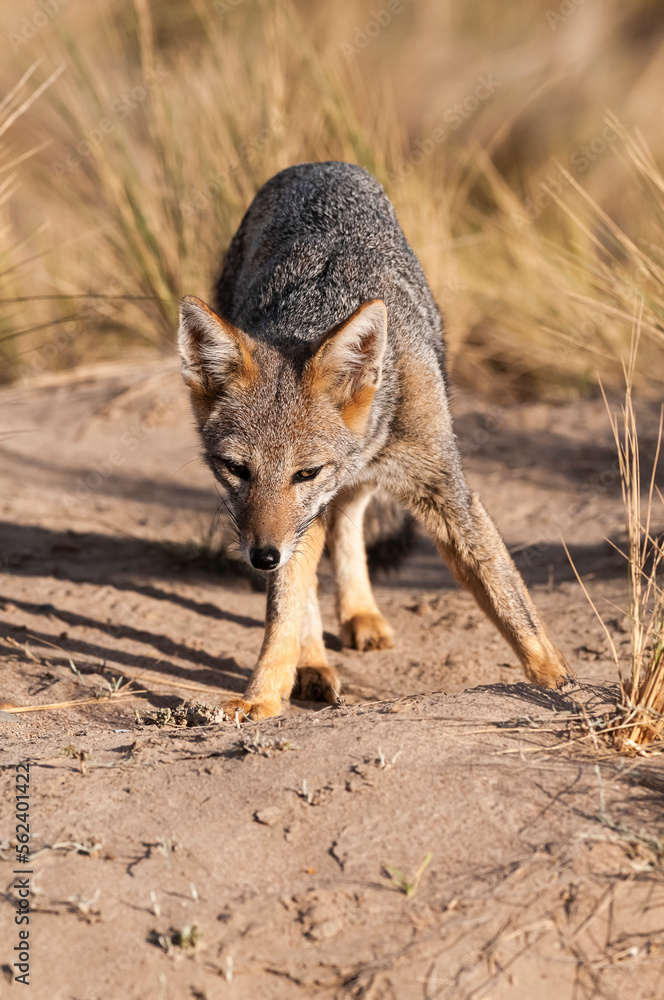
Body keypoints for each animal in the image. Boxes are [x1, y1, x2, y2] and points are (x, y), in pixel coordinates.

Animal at [178, 161, 570, 721]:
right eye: (237, 469)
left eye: (305, 472)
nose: (261, 558)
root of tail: (317, 164)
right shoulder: (293, 525)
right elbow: (284, 610)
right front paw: (263, 694)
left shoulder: (443, 489)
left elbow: (507, 597)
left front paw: (557, 680)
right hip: (303, 521)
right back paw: (313, 665)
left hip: (344, 498)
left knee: (348, 524)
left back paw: (358, 614)